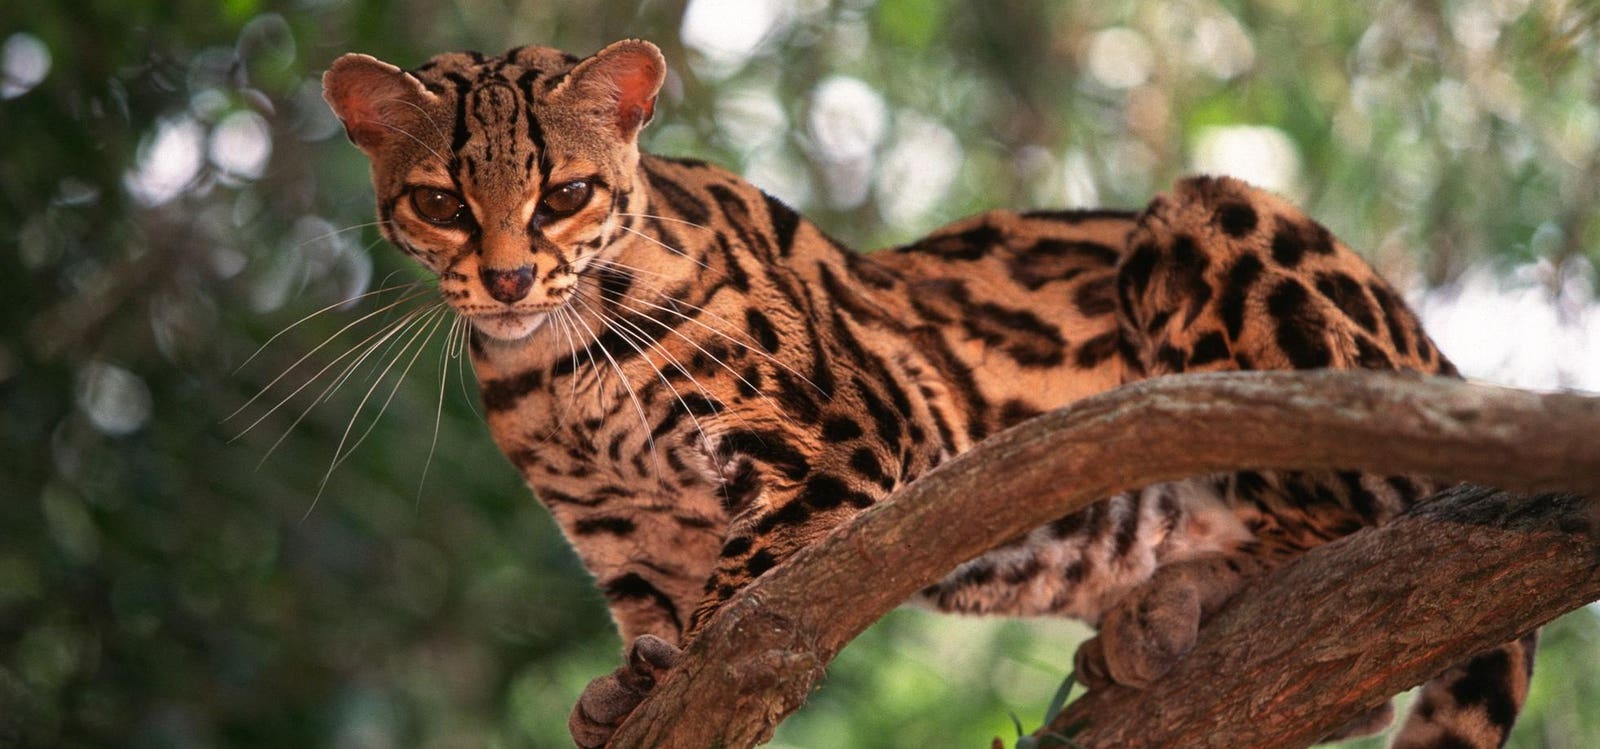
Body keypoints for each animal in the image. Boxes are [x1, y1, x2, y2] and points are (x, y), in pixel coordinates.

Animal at [318, 41, 1529, 749]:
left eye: (565, 194)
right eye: (439, 202)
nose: (509, 277)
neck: (555, 366)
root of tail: (1442, 362)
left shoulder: (862, 432)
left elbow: (746, 602)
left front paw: (689, 670)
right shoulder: (625, 537)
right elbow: (658, 613)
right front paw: (625, 685)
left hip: (1210, 224)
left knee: (1355, 534)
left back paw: (1182, 594)